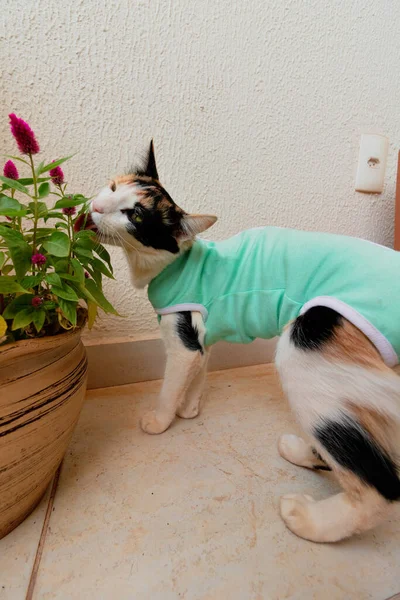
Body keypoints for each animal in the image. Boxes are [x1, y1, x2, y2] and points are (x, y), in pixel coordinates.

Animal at [83, 142, 400, 544]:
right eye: (112, 188)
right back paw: (303, 452)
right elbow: (199, 372)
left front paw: (162, 419)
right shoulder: (201, 338)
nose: (95, 206)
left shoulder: (183, 341)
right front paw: (190, 408)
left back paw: (309, 520)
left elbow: (172, 385)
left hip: (305, 346)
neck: (175, 264)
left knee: (378, 485)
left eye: (135, 215)